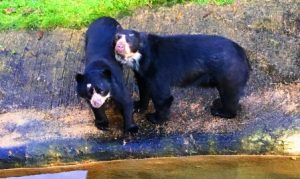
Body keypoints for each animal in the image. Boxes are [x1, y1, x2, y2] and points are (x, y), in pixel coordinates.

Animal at [113, 28, 250, 124]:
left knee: (230, 95)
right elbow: (144, 88)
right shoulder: (142, 72)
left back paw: (219, 110)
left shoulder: (157, 69)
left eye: (129, 40)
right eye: (117, 38)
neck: (139, 58)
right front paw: (137, 106)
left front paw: (154, 118)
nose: (118, 47)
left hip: (229, 73)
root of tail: (243, 55)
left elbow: (161, 95)